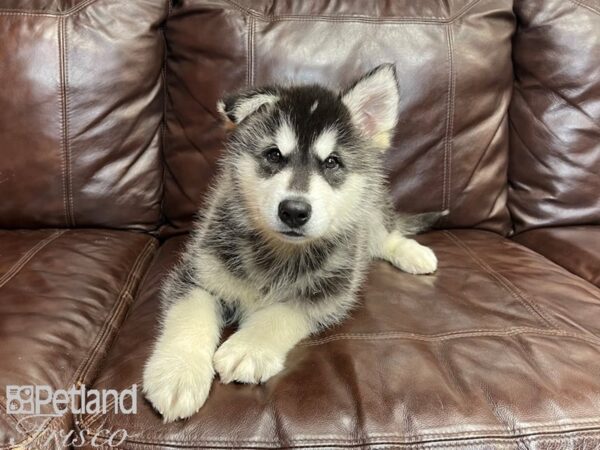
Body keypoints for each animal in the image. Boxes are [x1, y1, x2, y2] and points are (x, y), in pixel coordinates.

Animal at [143, 63, 442, 422]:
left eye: (332, 162)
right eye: (274, 155)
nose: (294, 211)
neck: (281, 252)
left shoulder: (332, 291)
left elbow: (283, 311)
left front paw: (248, 347)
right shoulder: (197, 273)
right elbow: (189, 317)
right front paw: (178, 373)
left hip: (369, 211)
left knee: (384, 233)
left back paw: (413, 253)